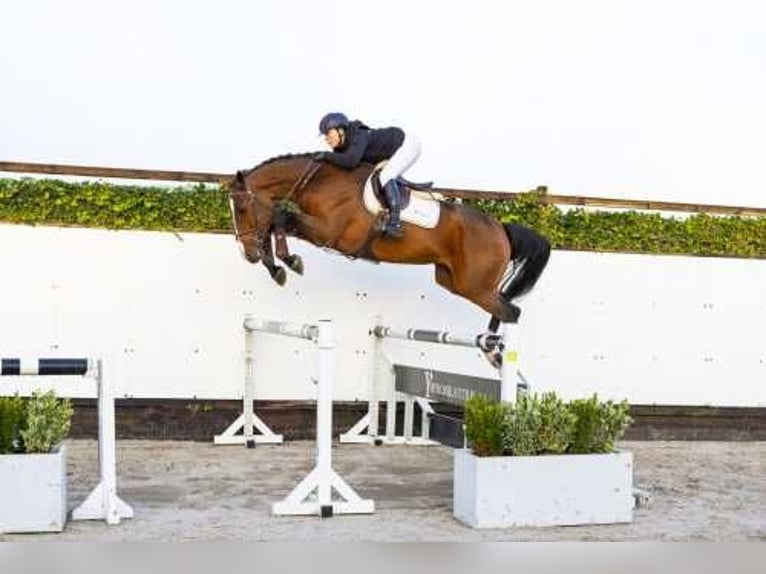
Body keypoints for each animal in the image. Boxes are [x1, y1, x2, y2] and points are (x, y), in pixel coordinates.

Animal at [228, 154, 552, 364]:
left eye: (241, 208)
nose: (247, 254)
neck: (317, 182)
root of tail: (501, 228)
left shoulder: (331, 233)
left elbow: (281, 218)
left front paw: (289, 261)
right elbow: (277, 222)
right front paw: (276, 266)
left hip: (475, 285)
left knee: (511, 311)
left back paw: (496, 353)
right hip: (455, 281)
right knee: (503, 304)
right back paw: (491, 350)